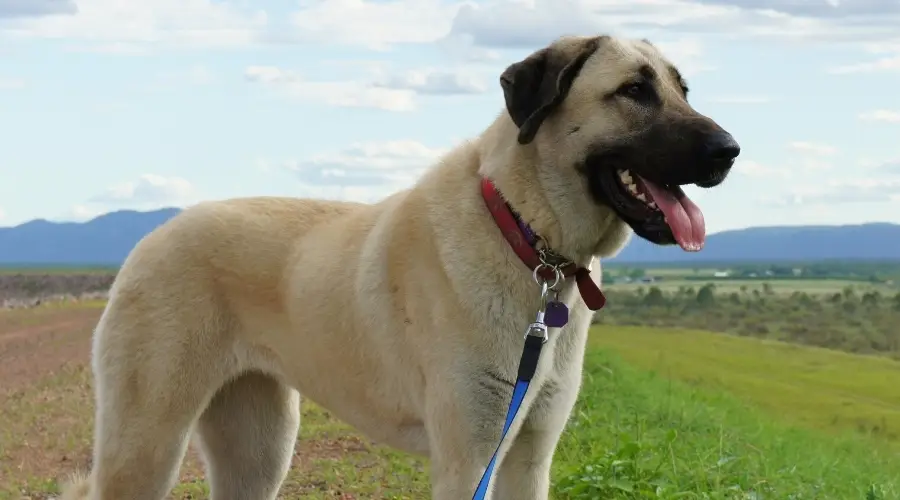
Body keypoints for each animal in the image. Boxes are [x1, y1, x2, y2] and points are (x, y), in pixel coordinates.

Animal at [61, 34, 740, 500]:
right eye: (634, 91)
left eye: (682, 90)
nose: (731, 150)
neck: (525, 234)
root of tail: (151, 237)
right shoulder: (469, 458)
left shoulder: (528, 454)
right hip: (146, 443)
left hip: (258, 445)